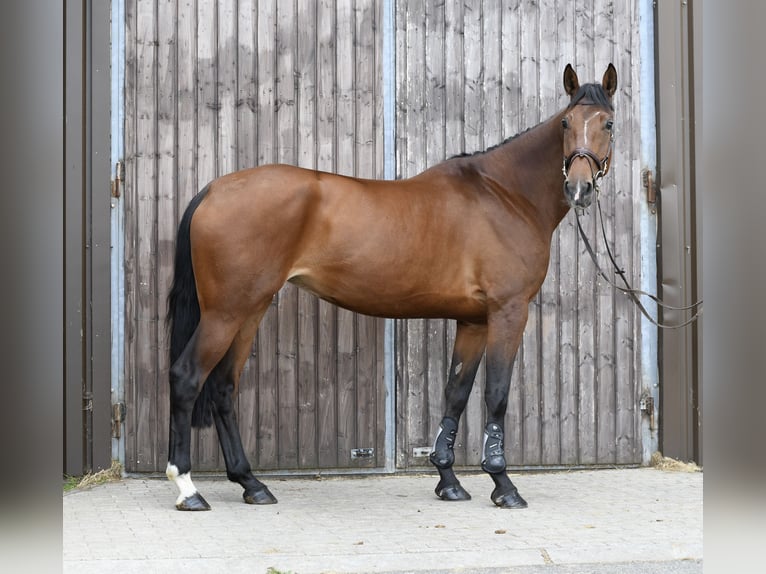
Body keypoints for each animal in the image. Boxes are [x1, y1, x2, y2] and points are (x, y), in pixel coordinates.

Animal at [165, 63, 618, 510]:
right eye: (565, 123)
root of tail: (215, 189)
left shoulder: (473, 321)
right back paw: (188, 488)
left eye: (608, 123)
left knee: (223, 388)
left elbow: (456, 393)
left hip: (250, 309)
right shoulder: (508, 312)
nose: (579, 188)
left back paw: (251, 483)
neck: (505, 194)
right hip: (226, 313)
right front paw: (503, 485)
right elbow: (497, 394)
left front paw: (448, 481)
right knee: (187, 378)